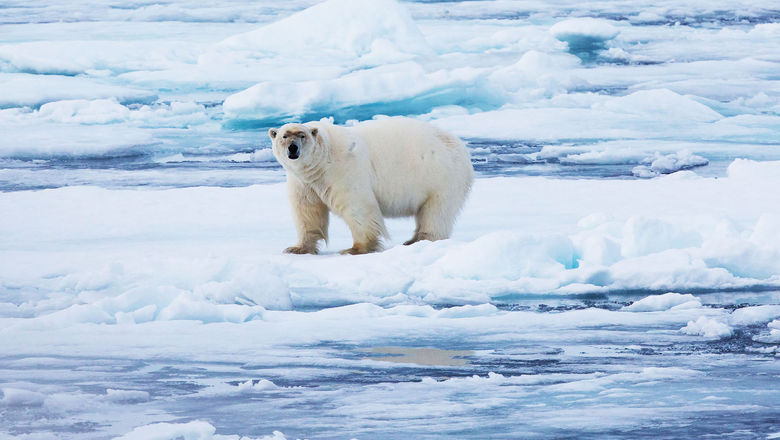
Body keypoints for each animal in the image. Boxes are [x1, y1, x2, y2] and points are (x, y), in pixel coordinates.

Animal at [268, 116, 474, 255]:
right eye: (284, 136)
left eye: (301, 135)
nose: (293, 148)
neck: (323, 159)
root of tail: (461, 146)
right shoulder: (304, 182)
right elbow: (307, 211)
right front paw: (296, 248)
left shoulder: (343, 170)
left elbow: (357, 207)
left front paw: (356, 249)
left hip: (441, 177)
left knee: (436, 212)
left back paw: (421, 239)